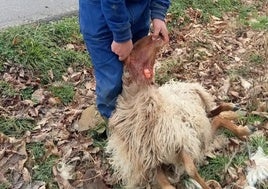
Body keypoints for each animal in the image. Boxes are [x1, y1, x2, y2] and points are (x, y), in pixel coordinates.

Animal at [105, 35, 253, 189]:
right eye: (134, 48)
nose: (156, 35)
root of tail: (185, 85)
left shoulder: (180, 141)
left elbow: (191, 169)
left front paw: (206, 186)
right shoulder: (154, 162)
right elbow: (169, 186)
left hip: (197, 122)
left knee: (215, 116)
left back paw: (238, 118)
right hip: (199, 127)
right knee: (216, 118)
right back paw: (237, 116)